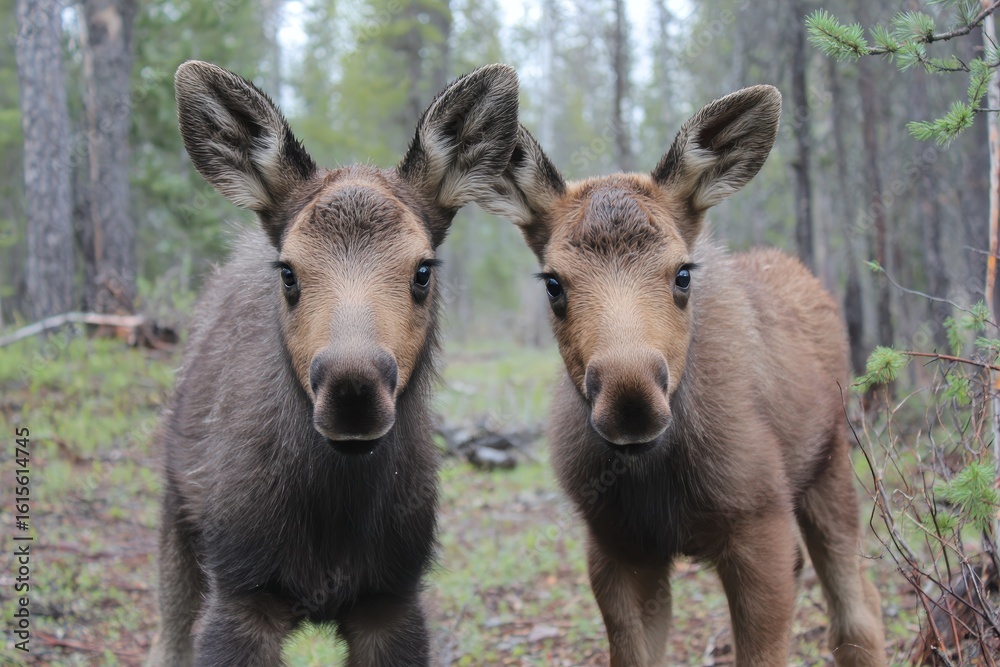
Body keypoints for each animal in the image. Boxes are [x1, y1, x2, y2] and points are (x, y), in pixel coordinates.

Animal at [147, 60, 519, 667]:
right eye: (289, 272)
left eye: (422, 270)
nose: (352, 391)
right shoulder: (241, 592)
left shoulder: (393, 597)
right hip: (177, 519)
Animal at [477, 85, 887, 666]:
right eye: (553, 284)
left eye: (683, 274)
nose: (630, 400)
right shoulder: (616, 548)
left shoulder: (759, 529)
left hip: (830, 468)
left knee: (856, 609)